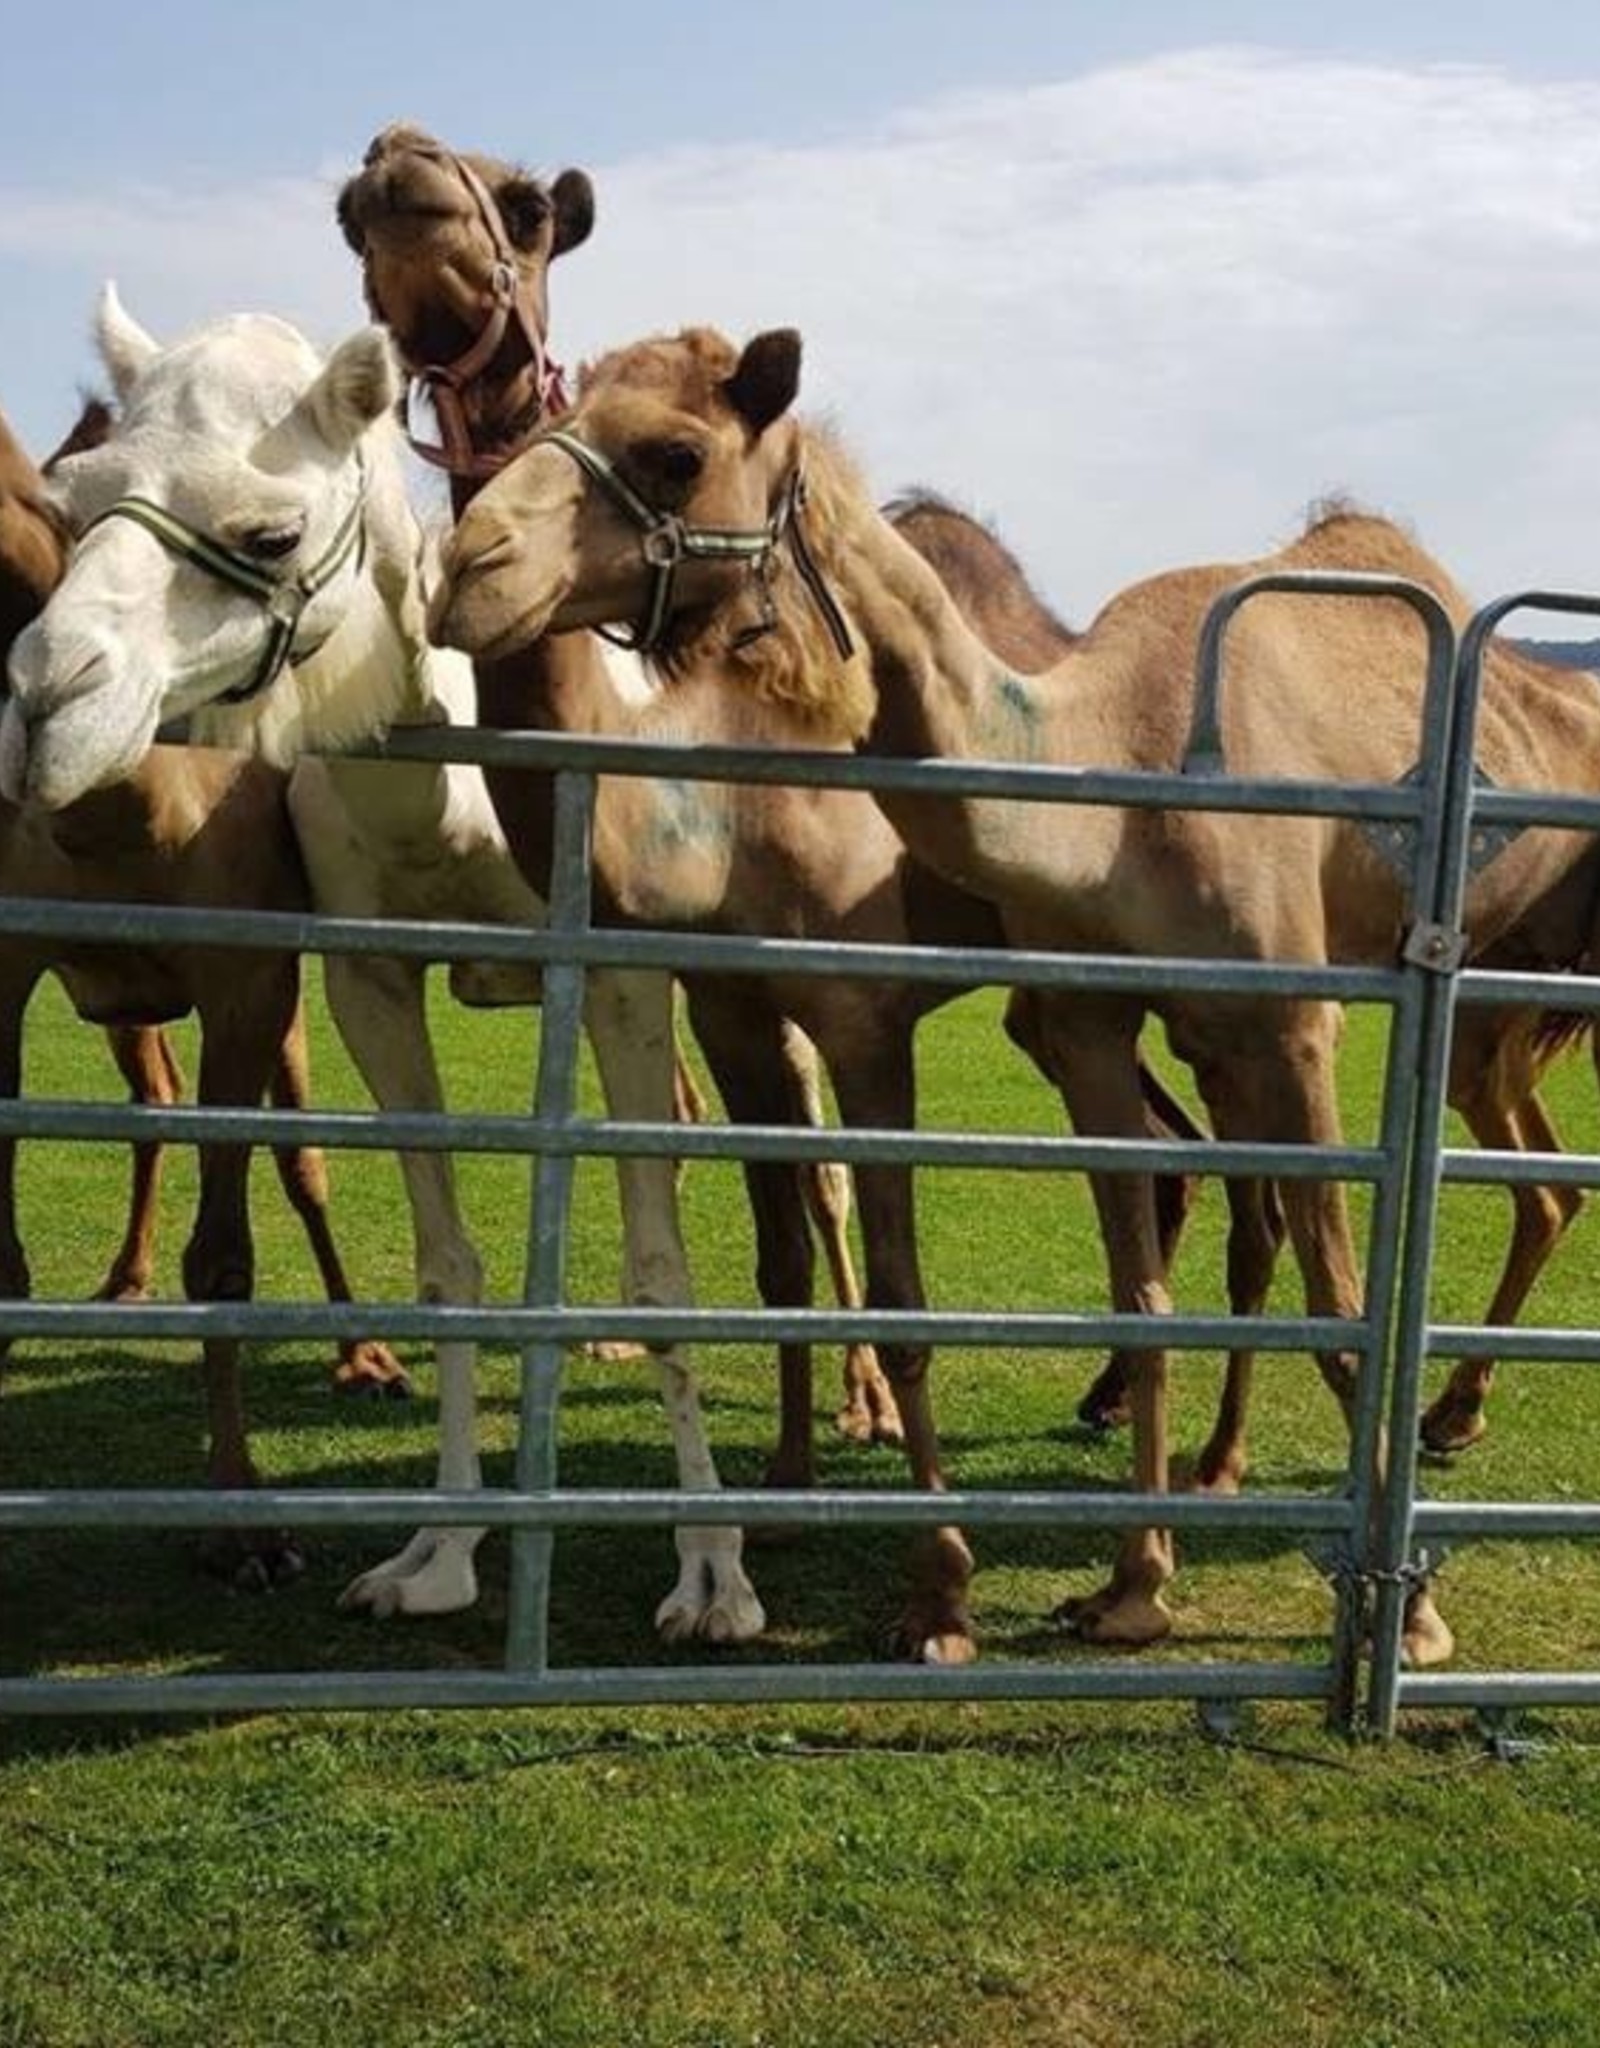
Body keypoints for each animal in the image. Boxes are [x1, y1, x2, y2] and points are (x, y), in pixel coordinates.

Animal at [6, 296, 766, 1646]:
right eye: (76, 496)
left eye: (269, 527)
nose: (47, 701)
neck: (441, 801)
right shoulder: (368, 972)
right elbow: (451, 1265)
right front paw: (438, 1553)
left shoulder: (615, 964)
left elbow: (663, 1260)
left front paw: (712, 1577)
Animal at [428, 319, 1600, 1662]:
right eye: (539, 420)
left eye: (675, 452)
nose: (467, 563)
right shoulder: (1034, 1009)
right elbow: (1096, 1289)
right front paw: (1124, 1585)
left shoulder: (1264, 1020)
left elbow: (1341, 1297)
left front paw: (1406, 1616)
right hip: (1194, 1033)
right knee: (1248, 1205)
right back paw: (1217, 1454)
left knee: (1482, 1190)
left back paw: (1432, 1420)